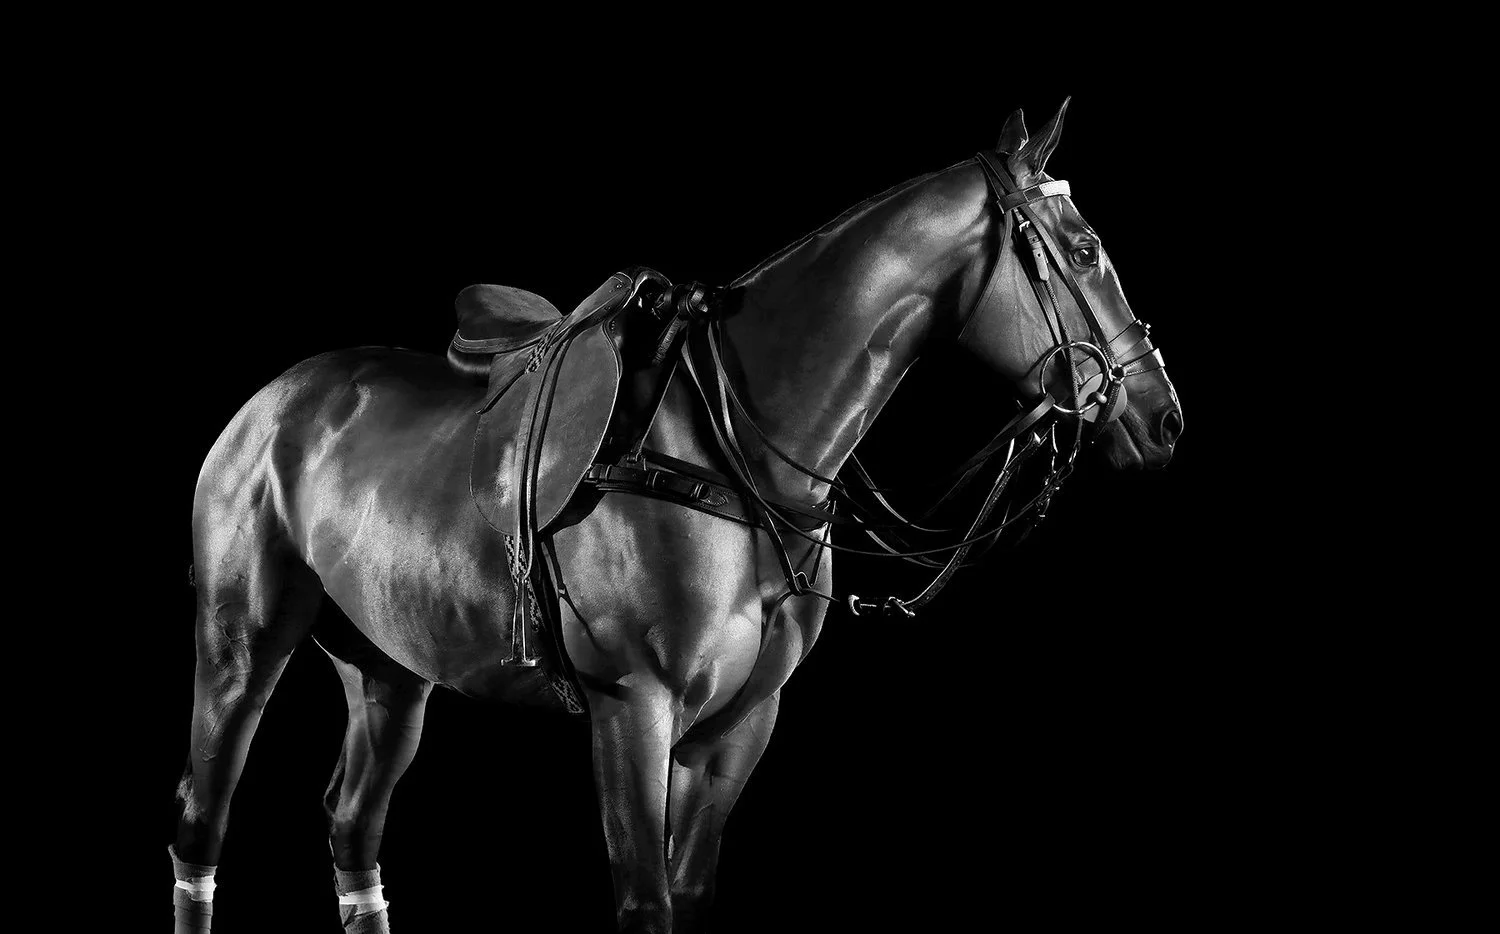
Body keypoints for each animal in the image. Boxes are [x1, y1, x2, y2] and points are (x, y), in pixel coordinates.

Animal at [167, 100, 1182, 933]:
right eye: (1084, 252)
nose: (1163, 416)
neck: (728, 455)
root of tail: (267, 406)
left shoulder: (738, 728)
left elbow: (688, 894)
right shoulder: (633, 709)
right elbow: (644, 900)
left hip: (389, 670)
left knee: (352, 826)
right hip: (241, 647)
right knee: (202, 820)